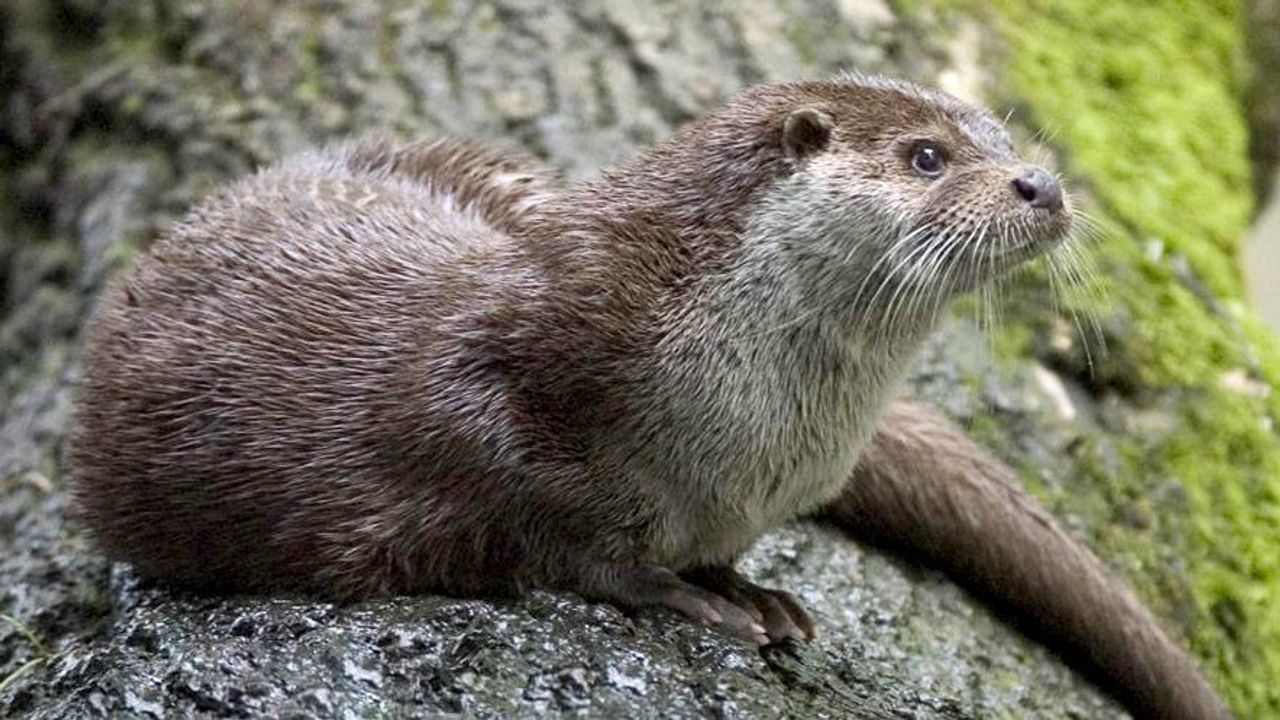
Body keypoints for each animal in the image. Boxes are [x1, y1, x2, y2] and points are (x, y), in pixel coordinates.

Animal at [67, 76, 1231, 719]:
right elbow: (546, 524)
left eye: (1003, 137)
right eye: (926, 156)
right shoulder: (504, 389)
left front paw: (746, 585)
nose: (1041, 184)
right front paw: (684, 594)